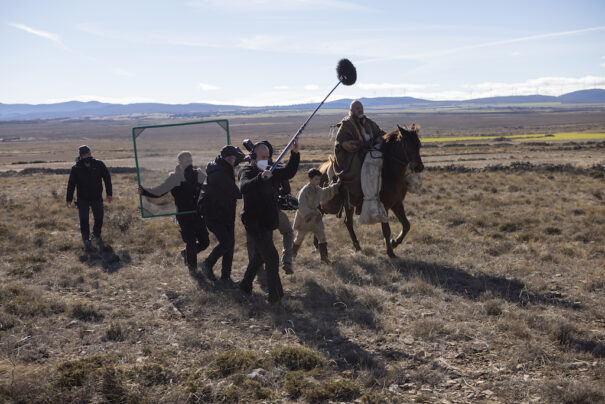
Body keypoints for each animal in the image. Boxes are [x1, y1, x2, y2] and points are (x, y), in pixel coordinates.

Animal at [318, 123, 422, 258]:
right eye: (407, 145)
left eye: (418, 144)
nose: (419, 167)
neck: (390, 173)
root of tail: (321, 168)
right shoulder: (384, 206)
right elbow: (386, 230)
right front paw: (390, 251)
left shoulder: (397, 204)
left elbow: (406, 225)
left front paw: (394, 242)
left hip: (348, 204)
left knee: (348, 222)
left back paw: (357, 246)